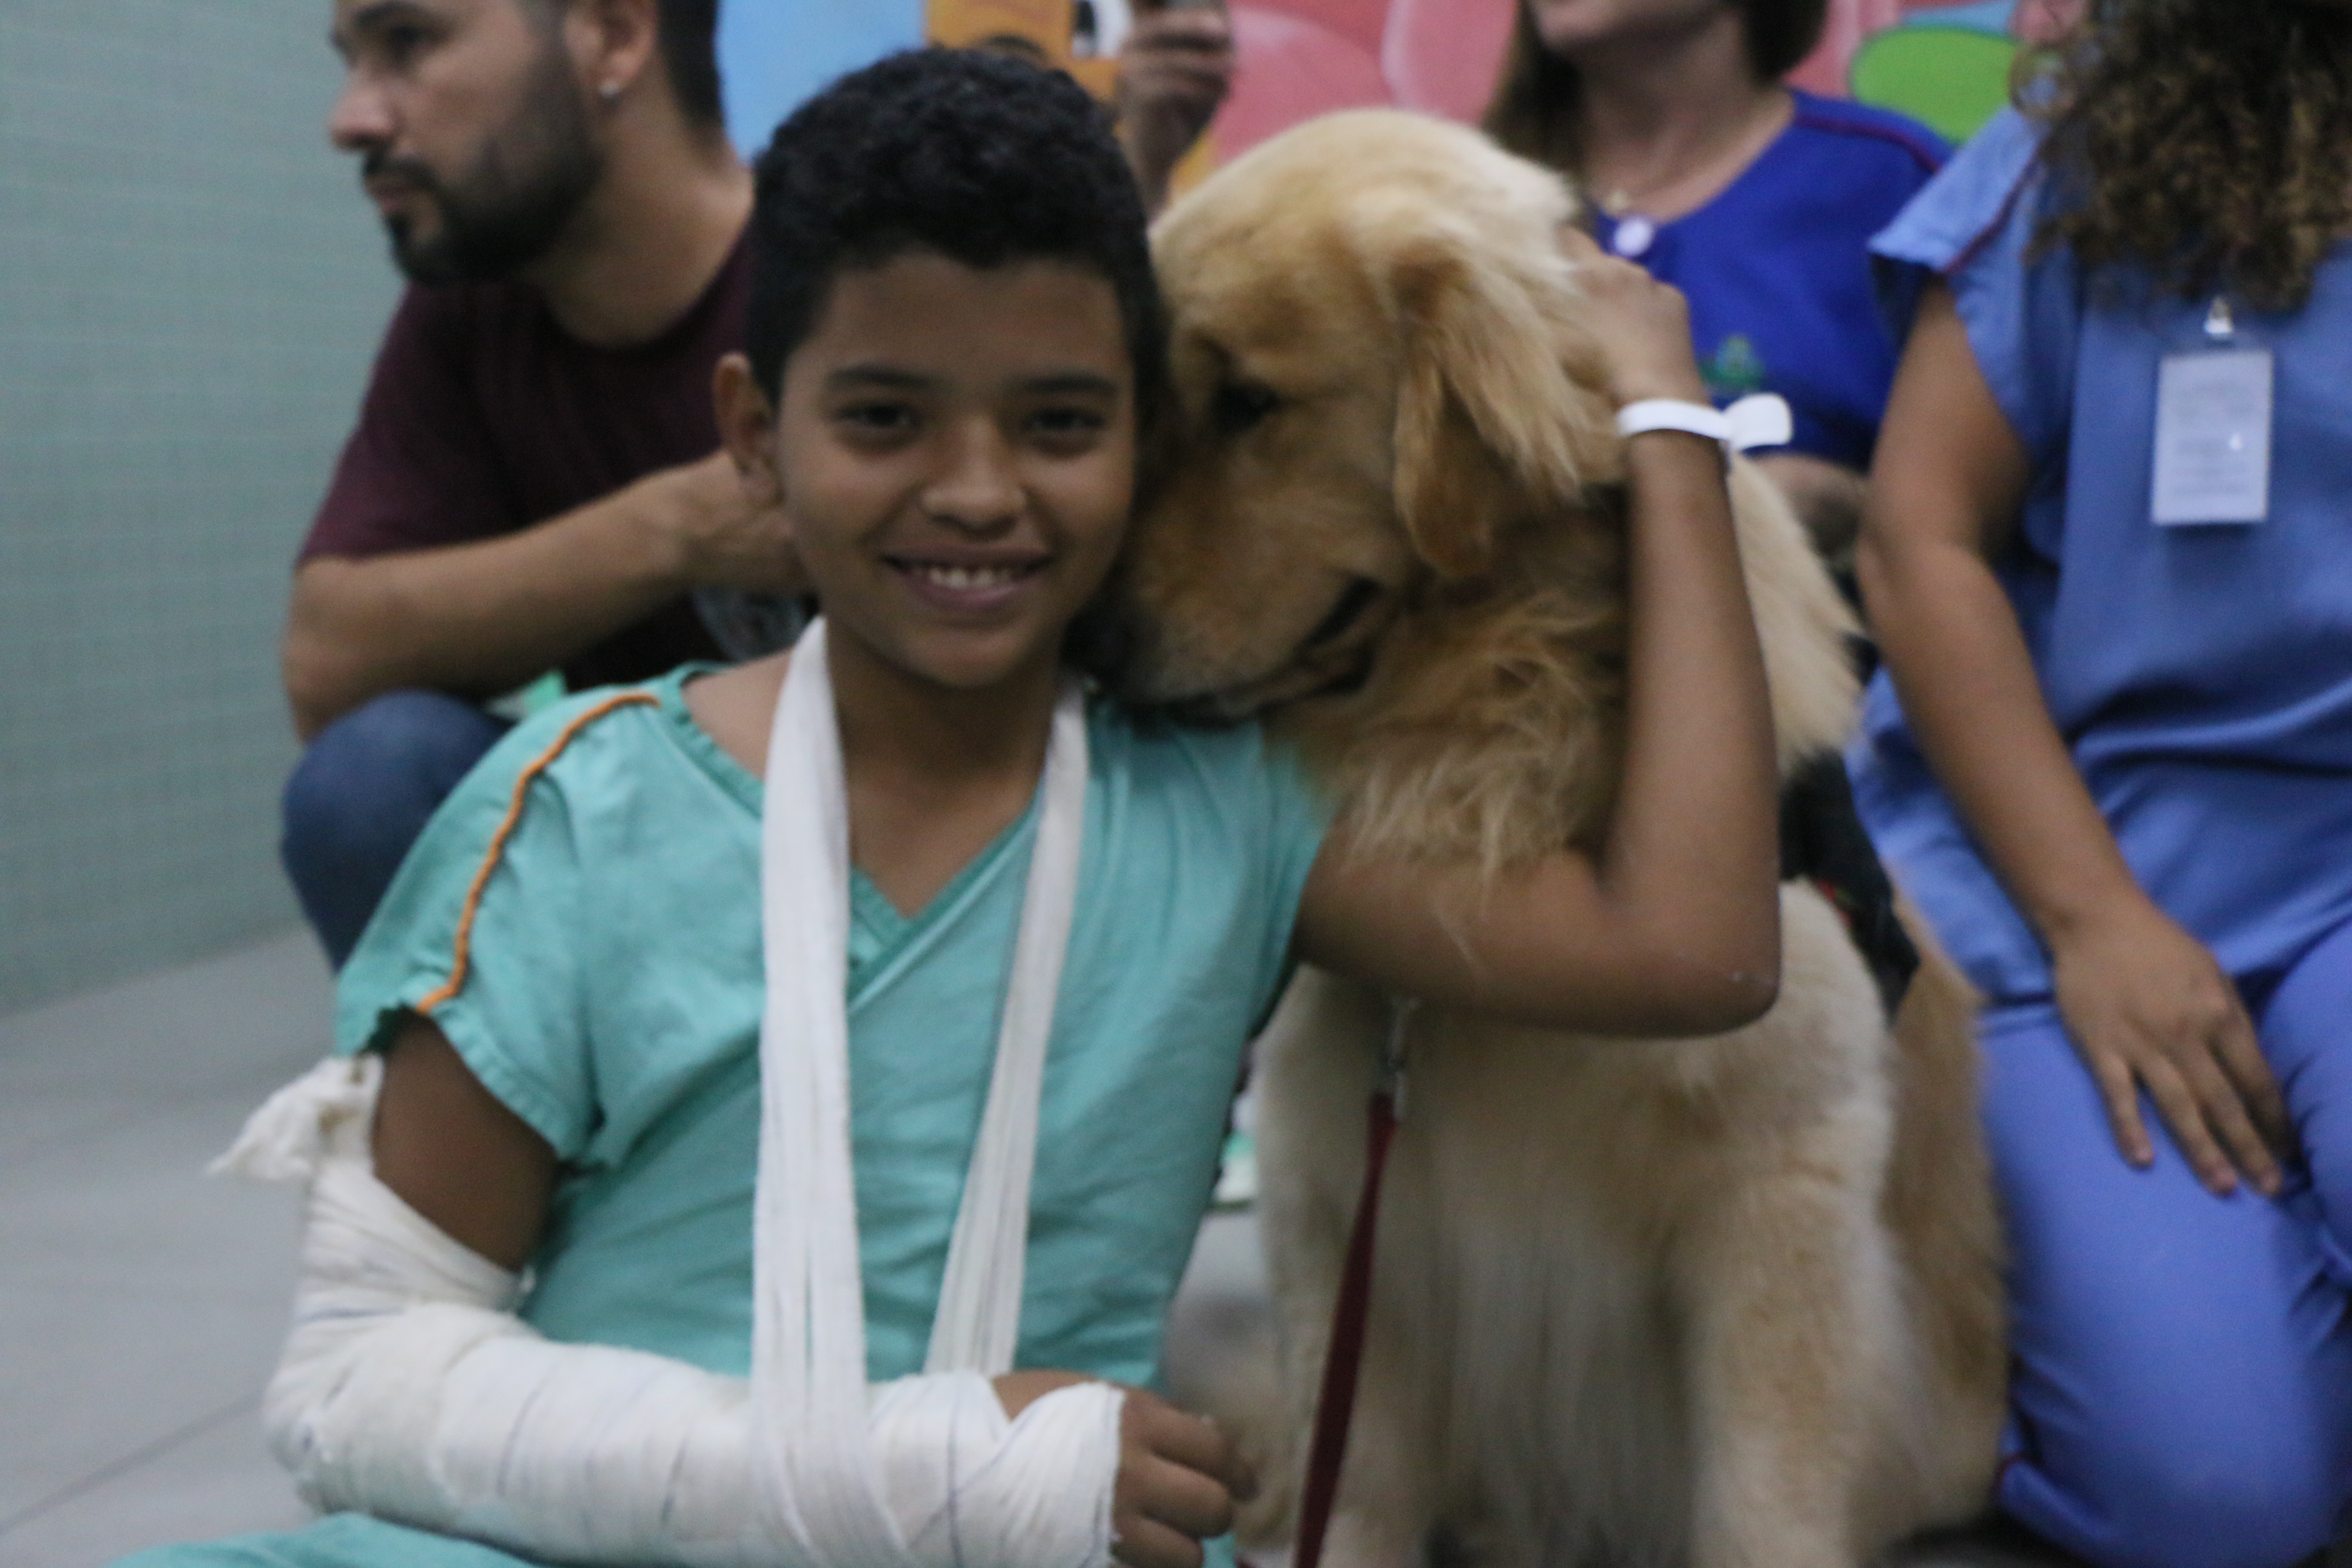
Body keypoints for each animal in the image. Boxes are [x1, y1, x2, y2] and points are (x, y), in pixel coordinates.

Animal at [1119, 113, 2004, 1568]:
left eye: (1247, 404)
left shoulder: (1780, 1201)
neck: (1503, 717)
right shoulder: (1330, 1179)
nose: (1086, 638)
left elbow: (1758, 1506)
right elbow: (1352, 1485)